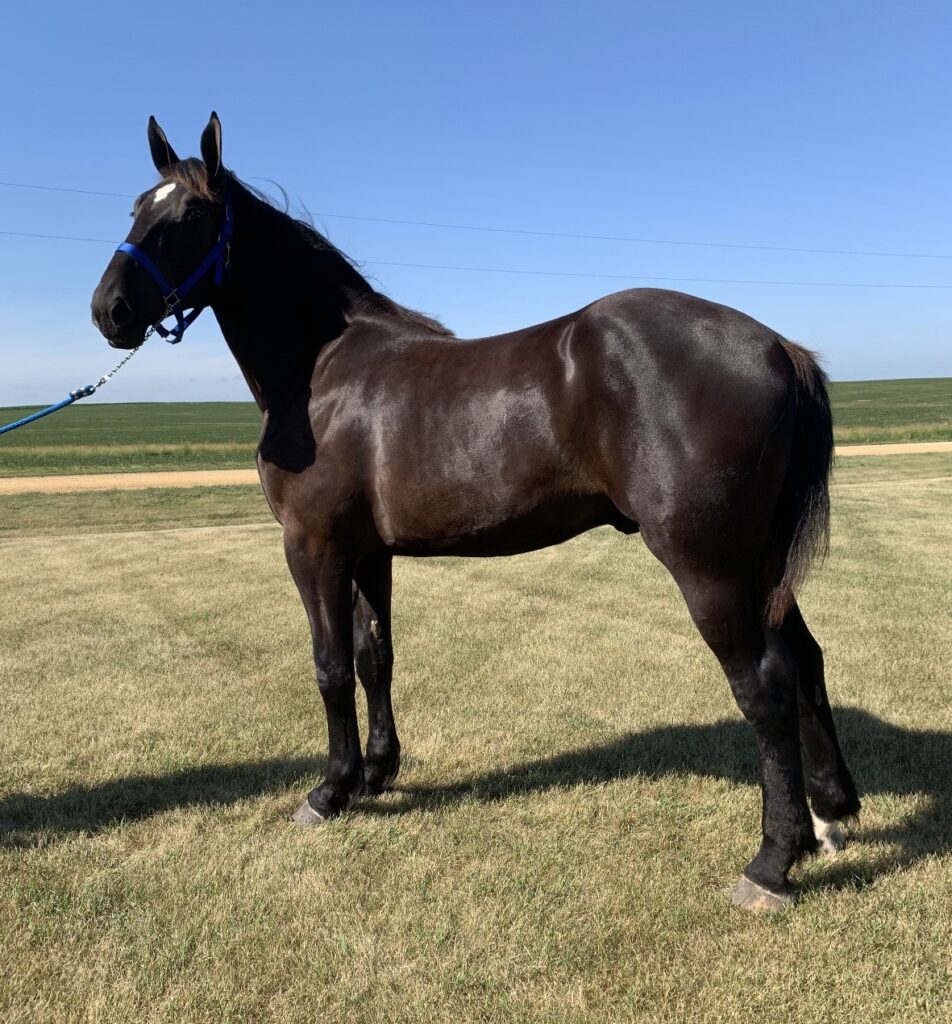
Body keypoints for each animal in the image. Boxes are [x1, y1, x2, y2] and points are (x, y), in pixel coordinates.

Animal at [91, 113, 860, 911]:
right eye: (136, 208)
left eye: (189, 216)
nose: (108, 311)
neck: (323, 369)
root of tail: (778, 347)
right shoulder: (368, 553)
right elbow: (374, 658)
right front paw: (375, 775)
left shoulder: (314, 546)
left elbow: (330, 666)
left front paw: (329, 793)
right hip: (759, 563)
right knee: (805, 660)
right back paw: (829, 816)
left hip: (709, 565)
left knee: (764, 684)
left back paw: (771, 861)